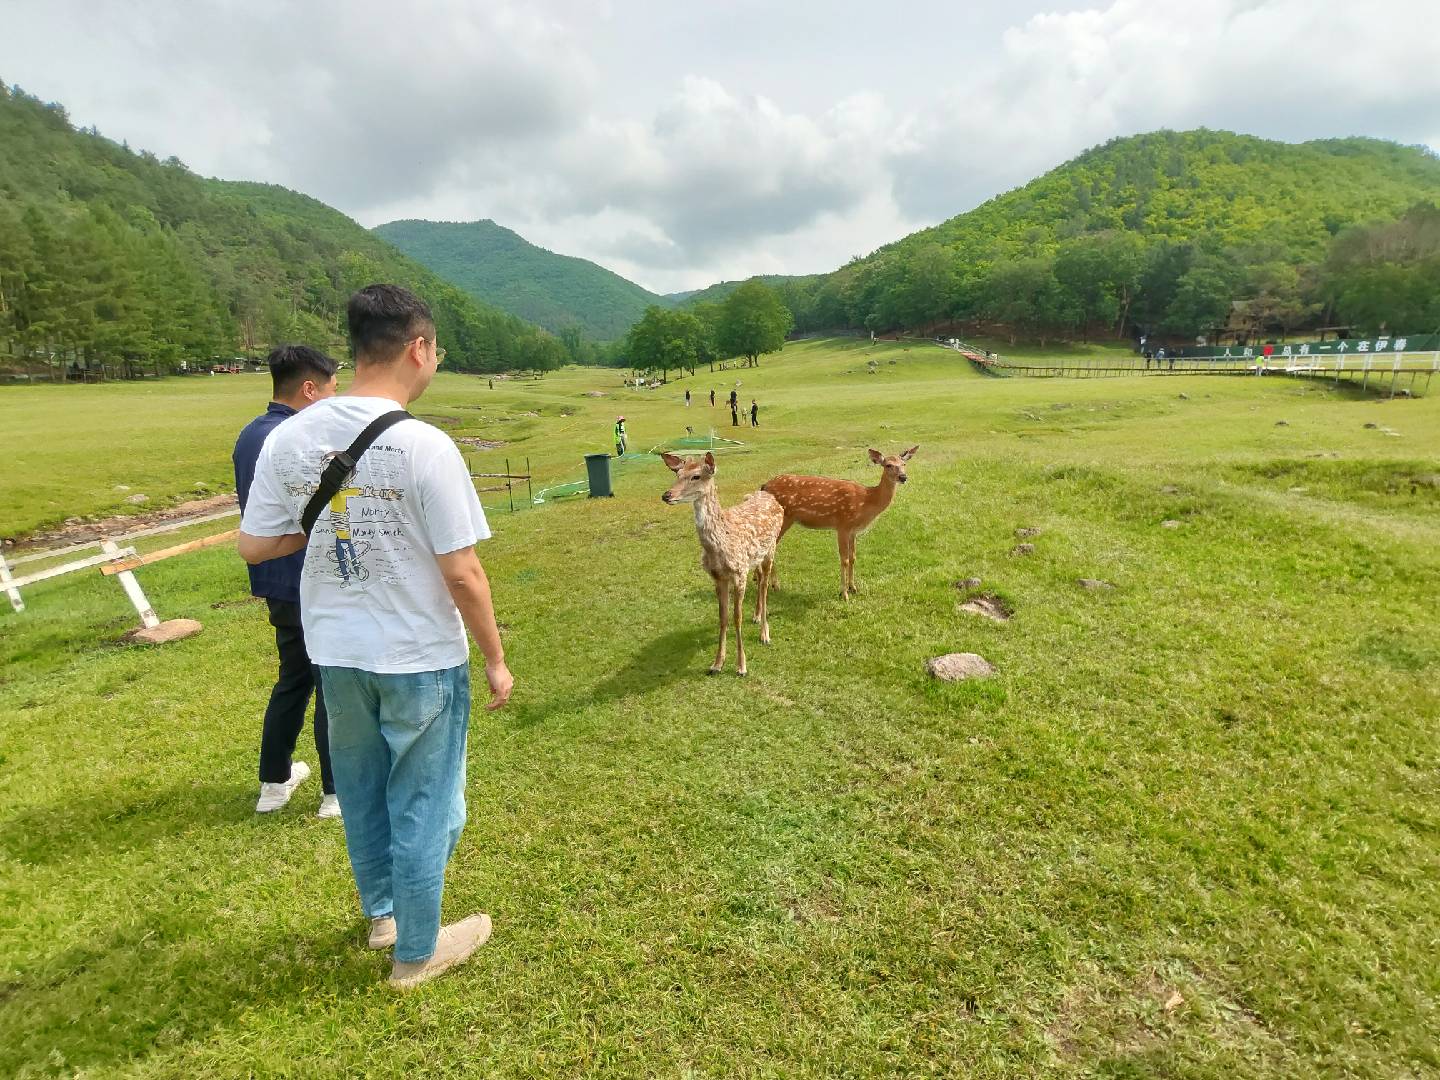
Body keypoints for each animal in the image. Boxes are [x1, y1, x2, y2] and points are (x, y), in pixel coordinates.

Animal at [661, 451, 784, 677]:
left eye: (696, 476)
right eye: (677, 474)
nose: (666, 495)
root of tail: (769, 496)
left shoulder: (739, 573)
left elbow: (737, 617)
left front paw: (741, 666)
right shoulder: (717, 577)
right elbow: (723, 617)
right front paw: (717, 664)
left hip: (770, 549)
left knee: (764, 586)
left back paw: (764, 634)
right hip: (755, 558)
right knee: (759, 579)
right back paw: (756, 617)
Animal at [762, 446, 919, 600]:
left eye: (904, 464)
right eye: (888, 465)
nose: (903, 477)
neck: (866, 500)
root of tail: (764, 486)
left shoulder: (853, 531)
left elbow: (853, 557)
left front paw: (853, 588)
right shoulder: (843, 525)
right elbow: (844, 559)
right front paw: (844, 593)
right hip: (784, 518)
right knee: (771, 547)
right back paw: (775, 585)